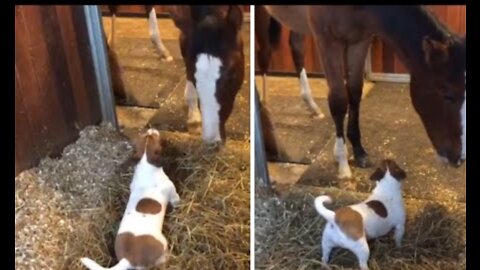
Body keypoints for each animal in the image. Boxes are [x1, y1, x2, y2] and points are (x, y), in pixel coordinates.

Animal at [81, 129, 181, 270]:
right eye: (153, 137)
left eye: (146, 135)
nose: (151, 129)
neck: (145, 161)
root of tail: (127, 259)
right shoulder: (172, 191)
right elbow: (176, 199)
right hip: (163, 243)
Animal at [262, 5, 464, 178]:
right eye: (448, 95)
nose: (459, 158)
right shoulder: (328, 41)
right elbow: (338, 100)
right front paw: (342, 162)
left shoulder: (359, 41)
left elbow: (354, 92)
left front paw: (358, 151)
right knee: (263, 52)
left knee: (296, 47)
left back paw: (311, 106)